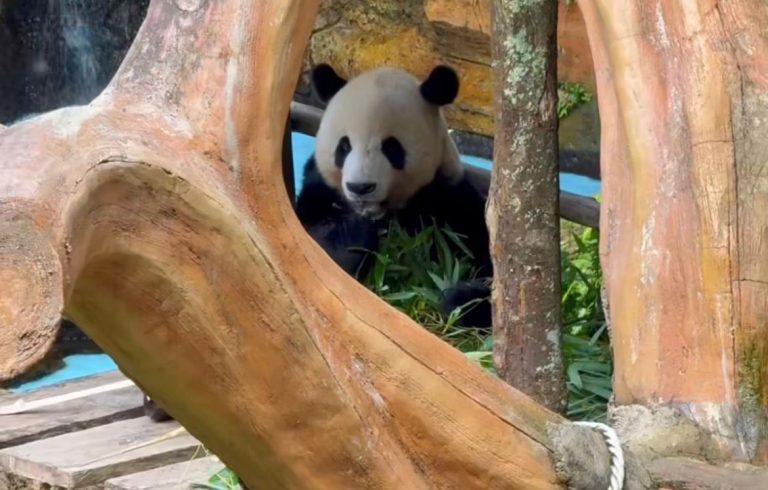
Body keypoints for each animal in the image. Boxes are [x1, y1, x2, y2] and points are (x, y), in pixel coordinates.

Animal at [142, 63, 494, 423]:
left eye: (391, 147)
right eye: (344, 147)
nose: (360, 187)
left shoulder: (448, 202)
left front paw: (462, 297)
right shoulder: (313, 198)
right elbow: (305, 263)